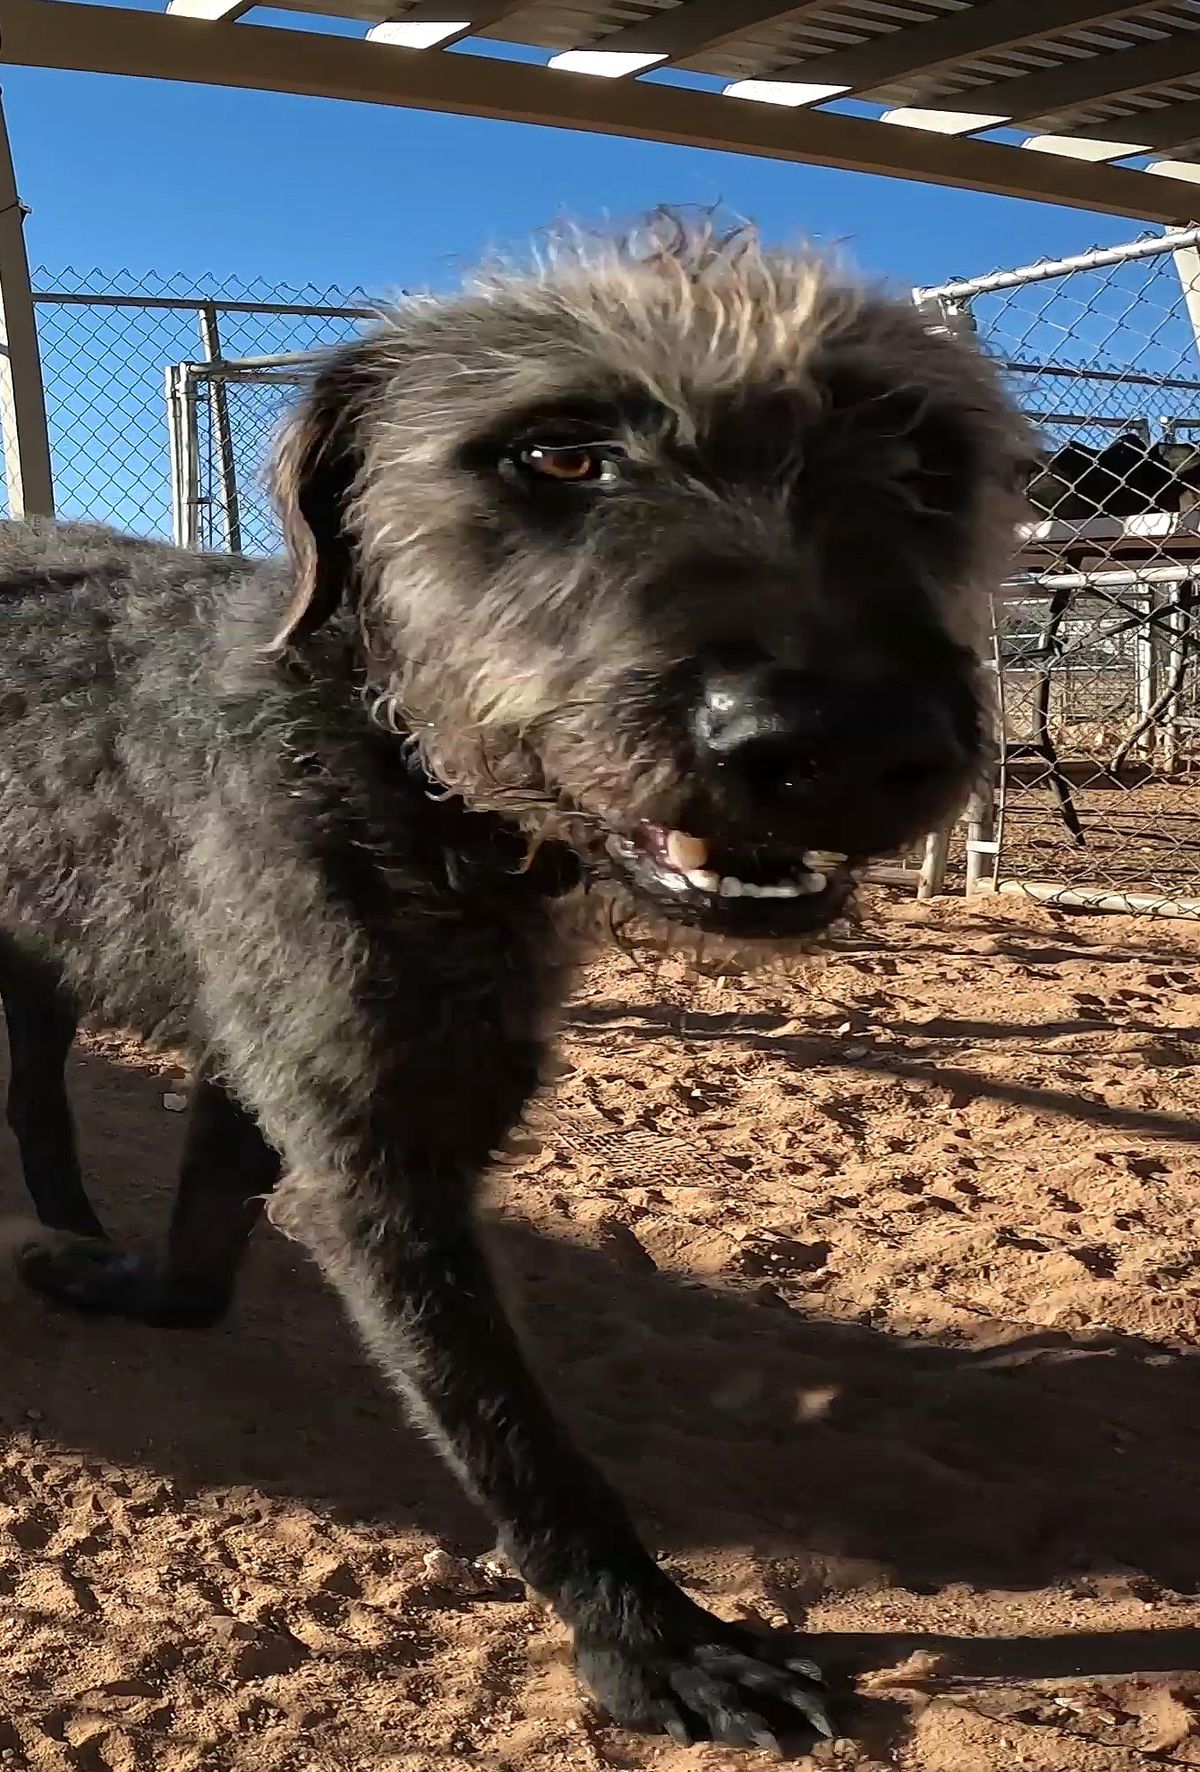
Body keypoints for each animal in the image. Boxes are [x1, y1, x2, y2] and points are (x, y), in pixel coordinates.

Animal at [0, 217, 1028, 1743]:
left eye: (918, 464)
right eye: (558, 455)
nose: (843, 741)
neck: (395, 763)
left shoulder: (298, 1060)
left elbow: (204, 1241)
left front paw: (123, 1280)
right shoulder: (379, 1164)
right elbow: (515, 1435)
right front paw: (650, 1637)